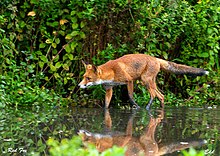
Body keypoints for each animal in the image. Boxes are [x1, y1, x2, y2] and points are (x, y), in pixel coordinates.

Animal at [78, 54, 208, 109]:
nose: (79, 86)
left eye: (88, 78)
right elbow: (106, 104)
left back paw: (146, 108)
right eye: (84, 76)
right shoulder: (109, 88)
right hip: (150, 82)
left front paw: (137, 107)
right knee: (161, 96)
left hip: (145, 81)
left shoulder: (129, 81)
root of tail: (155, 58)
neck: (112, 72)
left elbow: (130, 97)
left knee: (153, 95)